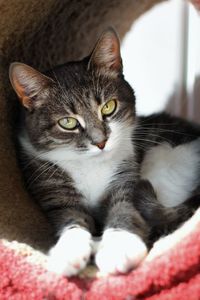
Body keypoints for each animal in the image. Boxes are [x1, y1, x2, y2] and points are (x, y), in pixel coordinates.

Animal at [9, 28, 200, 276]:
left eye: (108, 107)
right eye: (68, 122)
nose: (100, 142)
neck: (90, 164)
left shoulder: (126, 179)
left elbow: (124, 210)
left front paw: (119, 249)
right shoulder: (54, 190)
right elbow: (71, 219)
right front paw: (69, 253)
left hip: (166, 160)